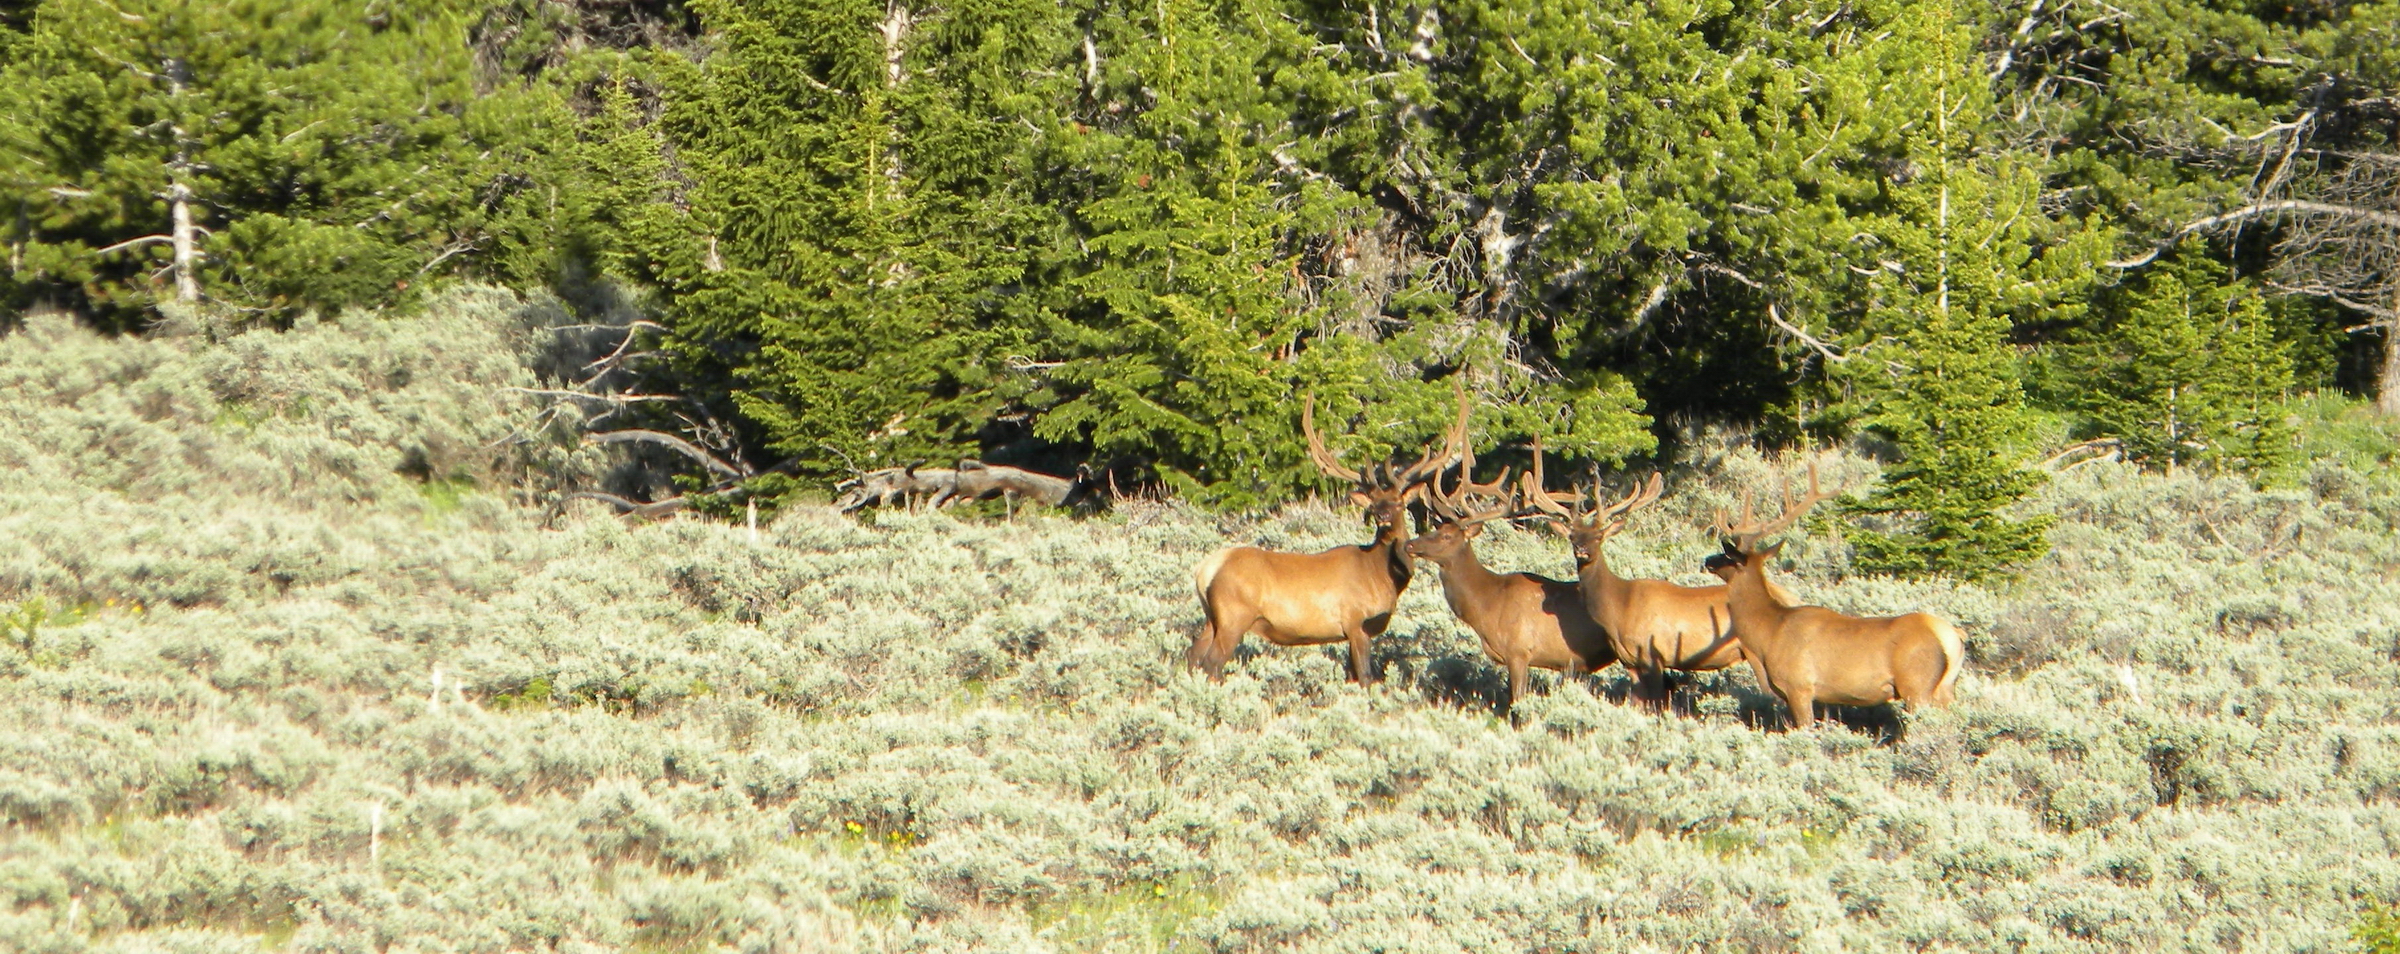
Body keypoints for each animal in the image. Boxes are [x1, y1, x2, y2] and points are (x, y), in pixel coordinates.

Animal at [1188, 387, 1470, 683]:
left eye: (1398, 503)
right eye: (1374, 504)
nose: (1382, 516)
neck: (1382, 575)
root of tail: (1206, 570)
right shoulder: (1356, 623)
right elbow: (1365, 678)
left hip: (1212, 617)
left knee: (1192, 656)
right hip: (1234, 615)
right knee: (1211, 663)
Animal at [1405, 452, 1616, 716]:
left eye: (1446, 536)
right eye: (1436, 527)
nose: (1410, 544)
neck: (1488, 605)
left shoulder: (1519, 651)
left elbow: (1517, 703)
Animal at [1520, 453, 1794, 712]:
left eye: (1598, 536)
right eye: (1572, 536)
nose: (1582, 550)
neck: (1619, 608)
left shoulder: (1655, 655)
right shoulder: (1629, 661)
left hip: (1756, 654)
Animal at [1703, 462, 1965, 730]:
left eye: (1727, 556)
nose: (1708, 560)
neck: (1769, 632)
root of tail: (1953, 636)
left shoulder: (1799, 686)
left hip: (1917, 685)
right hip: (1945, 688)